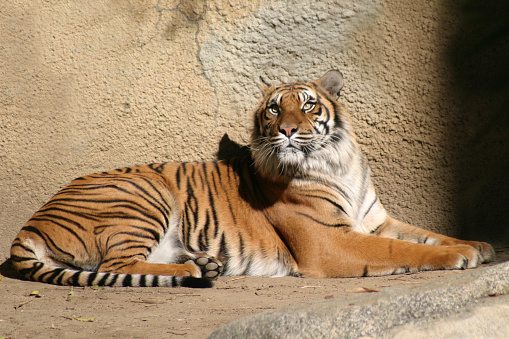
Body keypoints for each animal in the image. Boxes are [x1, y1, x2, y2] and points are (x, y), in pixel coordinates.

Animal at [7, 70, 494, 288]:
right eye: (275, 108)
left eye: (309, 104)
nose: (288, 130)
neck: (338, 163)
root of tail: (29, 224)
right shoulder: (331, 240)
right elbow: (404, 249)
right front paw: (461, 256)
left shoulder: (376, 220)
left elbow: (427, 233)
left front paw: (479, 245)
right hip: (143, 197)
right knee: (115, 265)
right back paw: (195, 269)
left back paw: (203, 266)